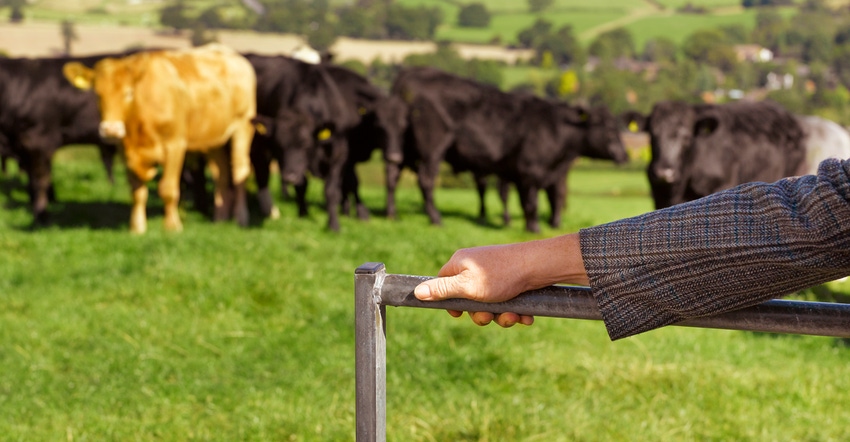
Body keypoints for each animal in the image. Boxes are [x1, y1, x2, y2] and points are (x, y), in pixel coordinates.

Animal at [64, 43, 253, 233]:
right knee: (221, 174)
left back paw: (241, 218)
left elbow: (167, 189)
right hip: (215, 142)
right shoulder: (125, 152)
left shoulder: (175, 145)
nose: (111, 129)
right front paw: (137, 228)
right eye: (98, 94)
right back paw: (219, 219)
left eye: (129, 93)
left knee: (239, 171)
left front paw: (172, 226)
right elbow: (137, 192)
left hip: (242, 127)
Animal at [388, 67, 628, 233]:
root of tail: (410, 73)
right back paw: (436, 219)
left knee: (393, 175)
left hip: (403, 147)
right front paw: (534, 229)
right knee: (426, 180)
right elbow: (531, 203)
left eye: (618, 127)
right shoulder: (529, 172)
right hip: (432, 147)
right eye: (608, 127)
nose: (624, 155)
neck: (555, 129)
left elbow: (548, 199)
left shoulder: (544, 174)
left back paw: (394, 215)